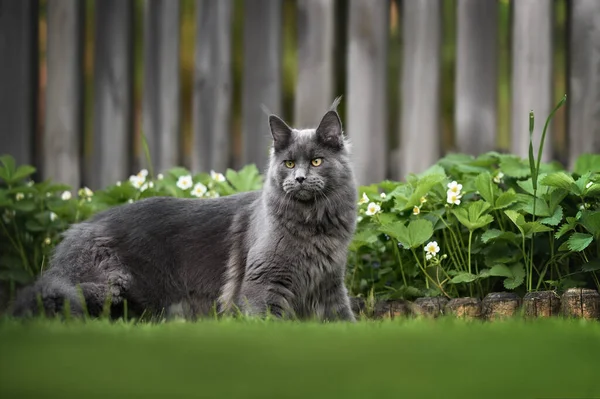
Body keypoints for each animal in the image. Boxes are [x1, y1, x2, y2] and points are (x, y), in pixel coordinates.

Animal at [10, 98, 356, 324]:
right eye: (289, 163)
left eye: (316, 161)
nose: (299, 179)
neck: (313, 226)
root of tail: (74, 232)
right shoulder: (264, 284)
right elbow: (269, 321)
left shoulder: (329, 286)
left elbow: (345, 320)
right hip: (106, 284)